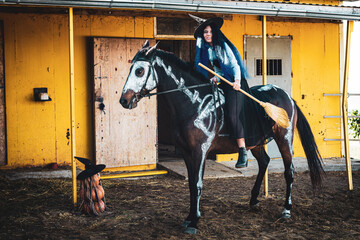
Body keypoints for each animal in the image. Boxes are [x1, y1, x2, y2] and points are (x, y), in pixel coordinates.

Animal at [119, 41, 324, 234]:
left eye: (139, 71)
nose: (124, 100)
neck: (195, 103)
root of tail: (286, 96)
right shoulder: (187, 152)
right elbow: (191, 184)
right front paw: (189, 218)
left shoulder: (199, 151)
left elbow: (198, 184)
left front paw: (194, 222)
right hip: (256, 143)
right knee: (264, 162)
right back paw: (253, 200)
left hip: (285, 138)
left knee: (289, 171)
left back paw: (286, 210)